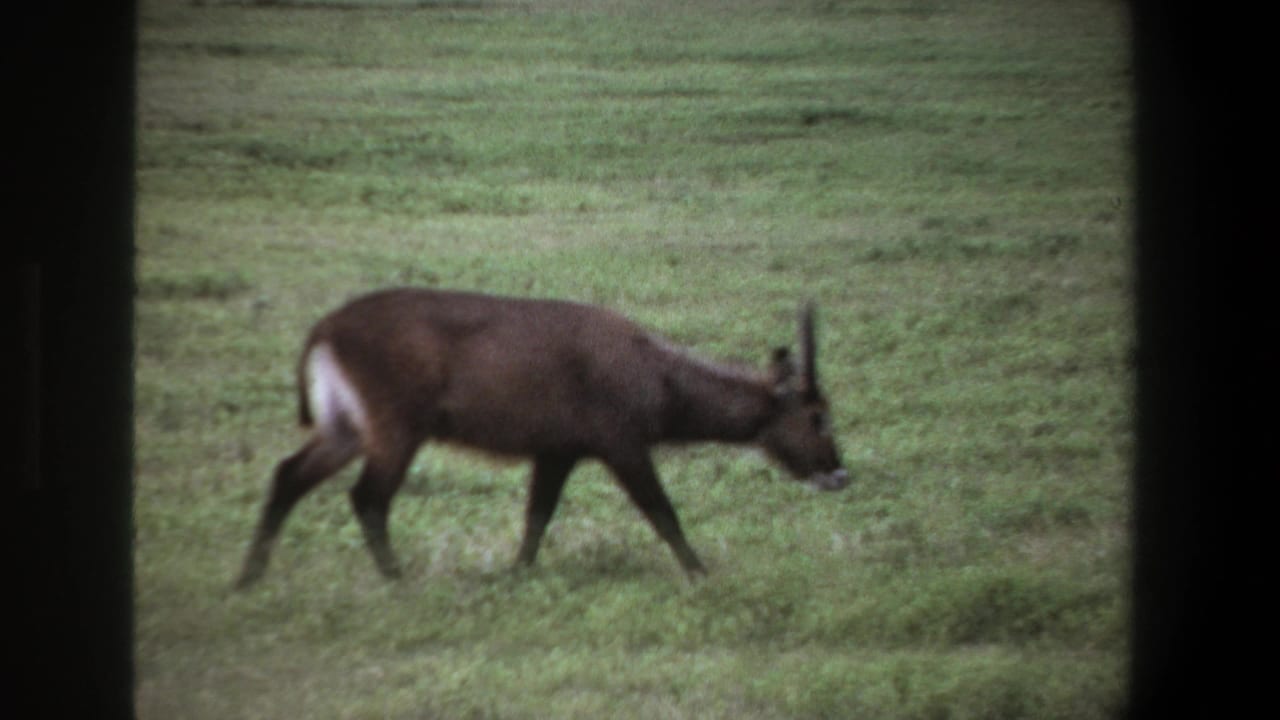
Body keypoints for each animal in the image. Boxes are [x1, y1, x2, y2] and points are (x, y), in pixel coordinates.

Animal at [234, 289, 848, 588]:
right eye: (819, 414)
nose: (840, 472)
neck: (657, 377)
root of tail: (326, 328)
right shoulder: (622, 445)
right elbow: (662, 512)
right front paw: (700, 575)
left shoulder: (557, 452)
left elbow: (537, 516)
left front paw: (516, 575)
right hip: (396, 429)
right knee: (367, 497)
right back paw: (398, 581)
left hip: (346, 428)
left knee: (288, 474)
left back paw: (248, 579)